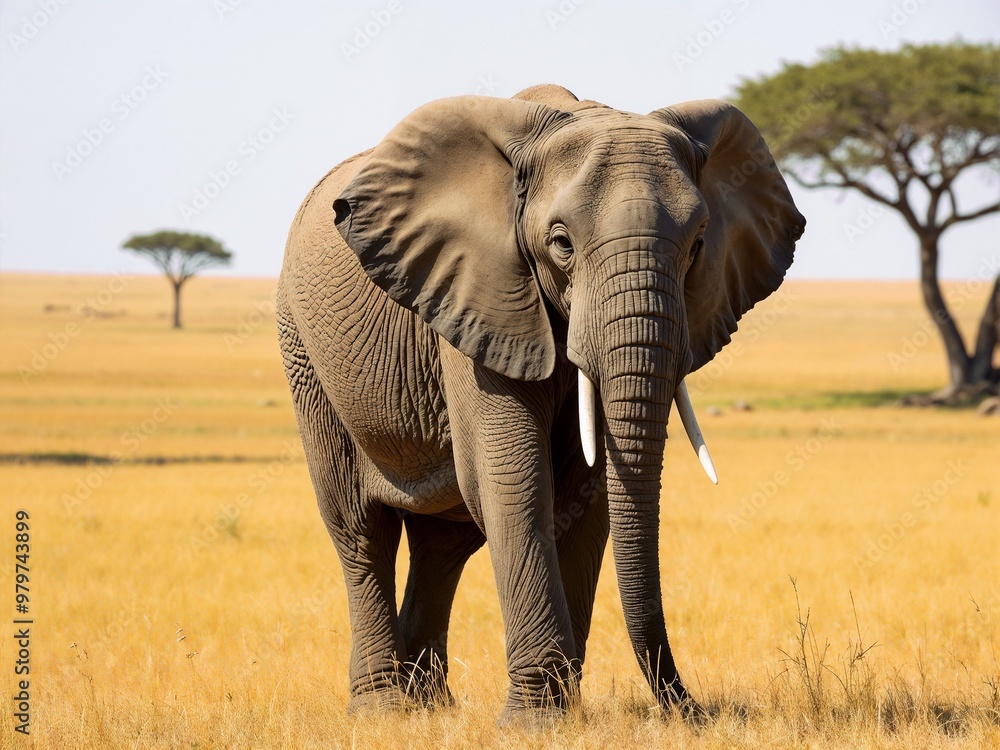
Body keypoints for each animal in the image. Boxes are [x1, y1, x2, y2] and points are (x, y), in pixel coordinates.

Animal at [277, 83, 804, 721]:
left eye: (700, 244)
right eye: (561, 244)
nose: (691, 710)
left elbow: (586, 494)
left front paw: (561, 707)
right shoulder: (478, 296)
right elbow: (514, 478)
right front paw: (537, 719)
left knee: (443, 544)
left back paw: (431, 704)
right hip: (303, 353)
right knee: (360, 528)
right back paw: (385, 709)